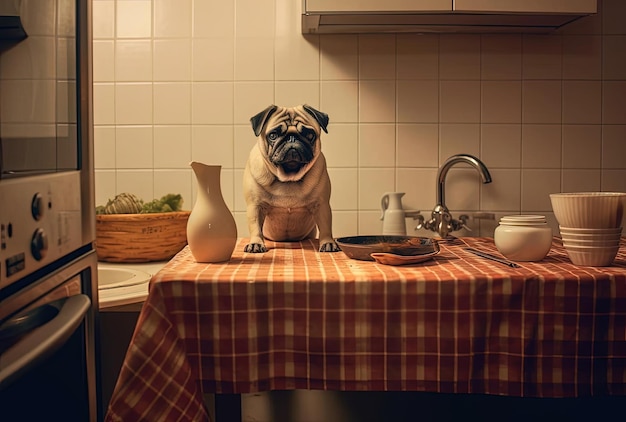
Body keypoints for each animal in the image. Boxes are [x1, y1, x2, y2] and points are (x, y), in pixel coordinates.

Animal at [243, 104, 338, 254]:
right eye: (273, 135)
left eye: (309, 134)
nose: (292, 138)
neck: (288, 178)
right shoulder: (255, 206)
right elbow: (255, 226)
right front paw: (256, 243)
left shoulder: (321, 205)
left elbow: (325, 226)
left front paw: (328, 242)